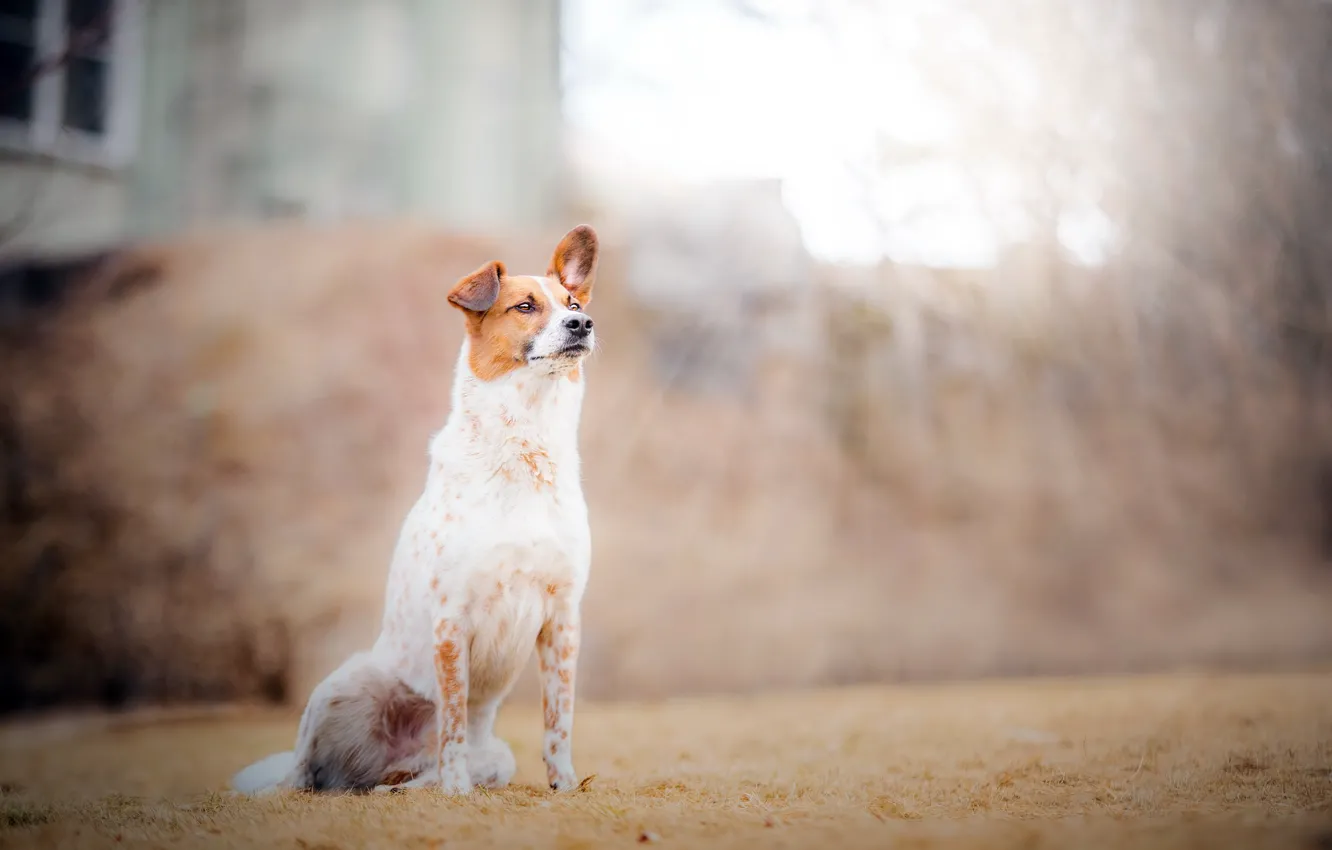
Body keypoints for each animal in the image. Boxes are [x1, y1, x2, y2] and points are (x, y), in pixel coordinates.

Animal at [233, 226, 599, 799]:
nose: (582, 324)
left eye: (574, 304)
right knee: (306, 775)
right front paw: (457, 792)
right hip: (343, 683)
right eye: (524, 306)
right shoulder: (452, 618)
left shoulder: (562, 618)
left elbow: (557, 719)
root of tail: (384, 764)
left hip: (495, 756)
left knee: (403, 780)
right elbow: (452, 719)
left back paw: (404, 785)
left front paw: (563, 784)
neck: (523, 446)